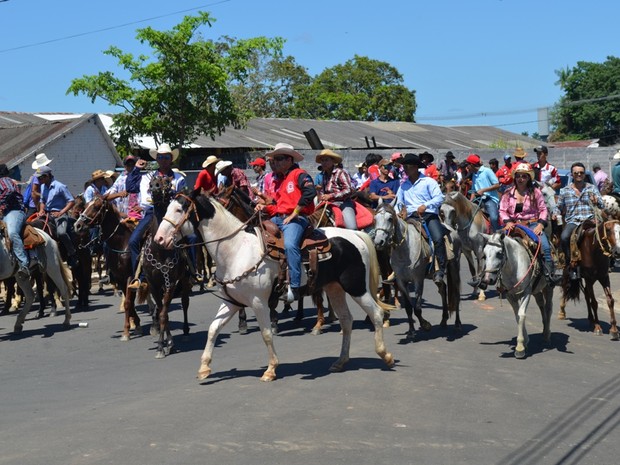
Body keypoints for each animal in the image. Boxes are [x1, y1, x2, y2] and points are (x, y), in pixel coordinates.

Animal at [155, 192, 398, 380]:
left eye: (179, 209)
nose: (159, 240)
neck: (236, 249)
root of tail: (355, 235)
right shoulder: (231, 302)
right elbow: (213, 330)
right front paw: (204, 367)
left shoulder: (258, 302)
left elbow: (266, 334)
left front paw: (271, 369)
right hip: (334, 288)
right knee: (346, 321)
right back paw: (340, 361)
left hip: (356, 287)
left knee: (376, 313)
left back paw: (385, 355)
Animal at [370, 202, 462, 338]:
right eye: (375, 219)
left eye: (390, 219)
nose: (378, 242)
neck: (405, 250)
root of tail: (451, 229)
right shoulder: (401, 281)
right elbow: (409, 307)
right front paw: (411, 331)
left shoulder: (418, 279)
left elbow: (417, 308)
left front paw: (426, 325)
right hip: (433, 274)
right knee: (443, 288)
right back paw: (443, 320)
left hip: (454, 266)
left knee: (456, 293)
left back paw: (457, 324)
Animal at [480, 230, 552, 358]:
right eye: (484, 254)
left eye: (499, 253)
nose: (487, 280)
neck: (514, 266)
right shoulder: (510, 295)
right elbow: (517, 316)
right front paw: (524, 342)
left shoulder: (526, 293)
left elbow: (522, 315)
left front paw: (519, 348)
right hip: (536, 290)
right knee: (541, 304)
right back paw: (544, 332)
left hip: (548, 287)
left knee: (548, 308)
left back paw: (547, 335)